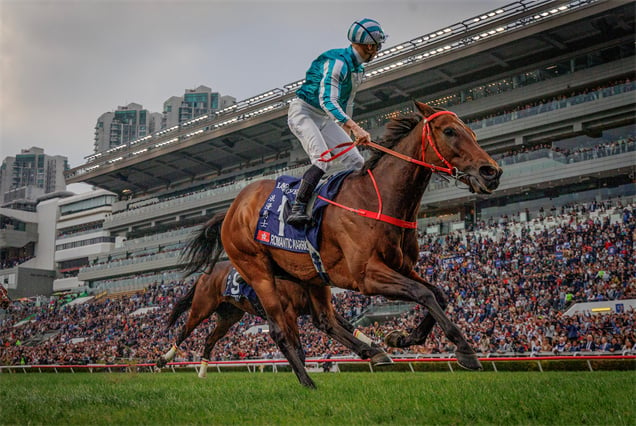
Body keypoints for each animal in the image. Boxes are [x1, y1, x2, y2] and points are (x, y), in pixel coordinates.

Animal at [158, 260, 388, 376]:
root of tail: (205, 274)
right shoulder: (289, 313)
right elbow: (300, 348)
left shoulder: (319, 308)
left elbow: (348, 326)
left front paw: (378, 348)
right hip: (202, 307)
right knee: (183, 330)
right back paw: (164, 359)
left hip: (229, 317)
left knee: (208, 339)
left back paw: (203, 371)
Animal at [183, 101, 502, 388]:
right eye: (450, 131)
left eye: (471, 132)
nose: (492, 172)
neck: (378, 200)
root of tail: (232, 209)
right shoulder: (367, 276)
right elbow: (422, 293)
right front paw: (465, 350)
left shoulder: (402, 266)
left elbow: (438, 294)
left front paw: (401, 337)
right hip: (258, 273)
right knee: (278, 330)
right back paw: (308, 380)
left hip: (311, 276)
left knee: (324, 319)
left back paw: (372, 351)